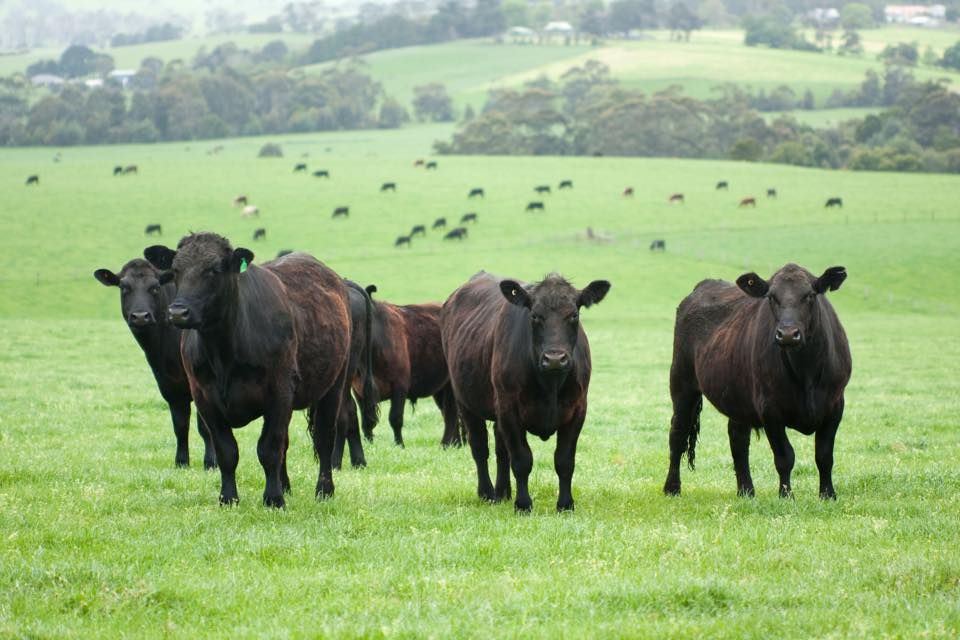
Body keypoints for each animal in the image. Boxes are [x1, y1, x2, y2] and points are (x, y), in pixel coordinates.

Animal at [93, 258, 215, 469]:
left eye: (155, 287)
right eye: (124, 288)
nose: (140, 316)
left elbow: (205, 427)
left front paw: (210, 463)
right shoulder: (169, 385)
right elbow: (180, 425)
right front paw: (181, 462)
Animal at [144, 234, 353, 507]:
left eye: (214, 270)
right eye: (176, 270)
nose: (178, 312)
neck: (223, 354)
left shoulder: (279, 392)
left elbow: (269, 448)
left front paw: (273, 499)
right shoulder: (204, 398)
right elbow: (227, 451)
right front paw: (228, 498)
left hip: (334, 385)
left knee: (324, 439)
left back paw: (324, 490)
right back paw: (286, 486)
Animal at [354, 286, 461, 448]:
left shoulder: (400, 385)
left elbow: (395, 418)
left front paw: (400, 445)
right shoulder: (359, 391)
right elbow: (367, 421)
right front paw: (369, 445)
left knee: (451, 414)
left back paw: (446, 445)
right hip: (441, 389)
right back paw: (456, 444)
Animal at [441, 272, 610, 512]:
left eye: (574, 315)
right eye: (535, 316)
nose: (555, 358)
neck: (550, 385)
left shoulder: (578, 409)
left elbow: (565, 460)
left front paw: (565, 504)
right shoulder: (509, 409)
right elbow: (522, 460)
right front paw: (523, 504)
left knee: (501, 450)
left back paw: (503, 492)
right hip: (466, 402)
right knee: (480, 447)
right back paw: (488, 493)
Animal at [663, 264, 851, 500]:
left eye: (809, 295)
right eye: (771, 297)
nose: (787, 334)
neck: (805, 372)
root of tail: (704, 285)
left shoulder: (835, 405)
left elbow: (824, 455)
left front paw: (828, 495)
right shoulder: (770, 409)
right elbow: (785, 456)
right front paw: (786, 496)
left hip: (736, 395)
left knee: (738, 440)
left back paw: (746, 491)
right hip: (682, 382)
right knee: (678, 434)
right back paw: (672, 488)